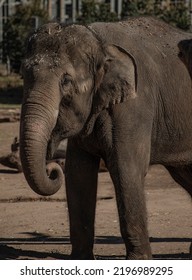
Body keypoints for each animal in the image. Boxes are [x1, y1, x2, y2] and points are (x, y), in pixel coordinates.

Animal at [19, 16, 192, 260]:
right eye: (23, 75)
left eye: (66, 81)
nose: (52, 168)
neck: (99, 42)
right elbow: (78, 173)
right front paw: (80, 259)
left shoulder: (135, 107)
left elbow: (126, 169)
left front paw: (139, 260)